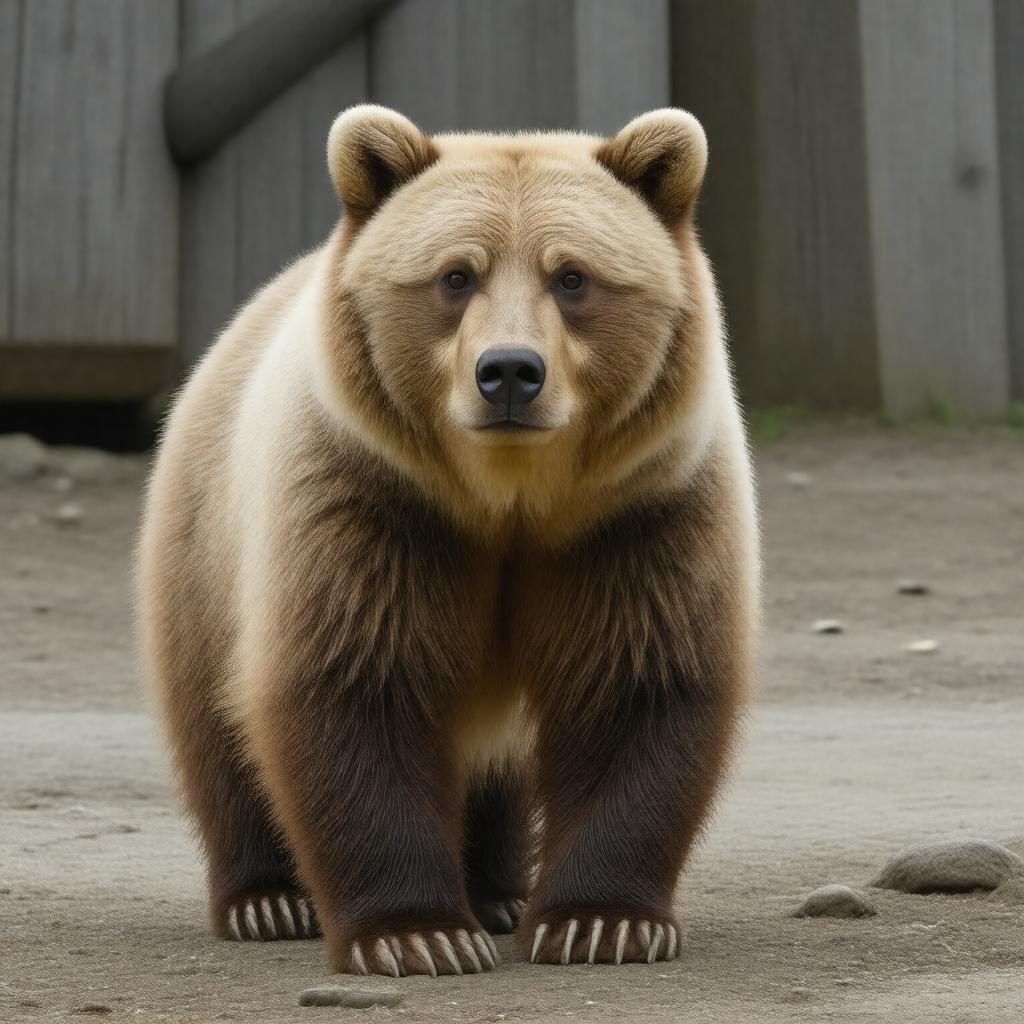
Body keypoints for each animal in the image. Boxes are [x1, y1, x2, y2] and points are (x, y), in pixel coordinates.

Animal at [137, 104, 759, 977]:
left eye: (572, 277)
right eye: (456, 276)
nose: (510, 373)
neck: (508, 501)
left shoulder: (638, 513)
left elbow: (637, 682)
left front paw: (599, 922)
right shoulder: (373, 505)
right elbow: (356, 681)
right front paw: (417, 934)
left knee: (496, 766)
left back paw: (497, 891)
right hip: (206, 542)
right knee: (214, 722)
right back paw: (267, 899)